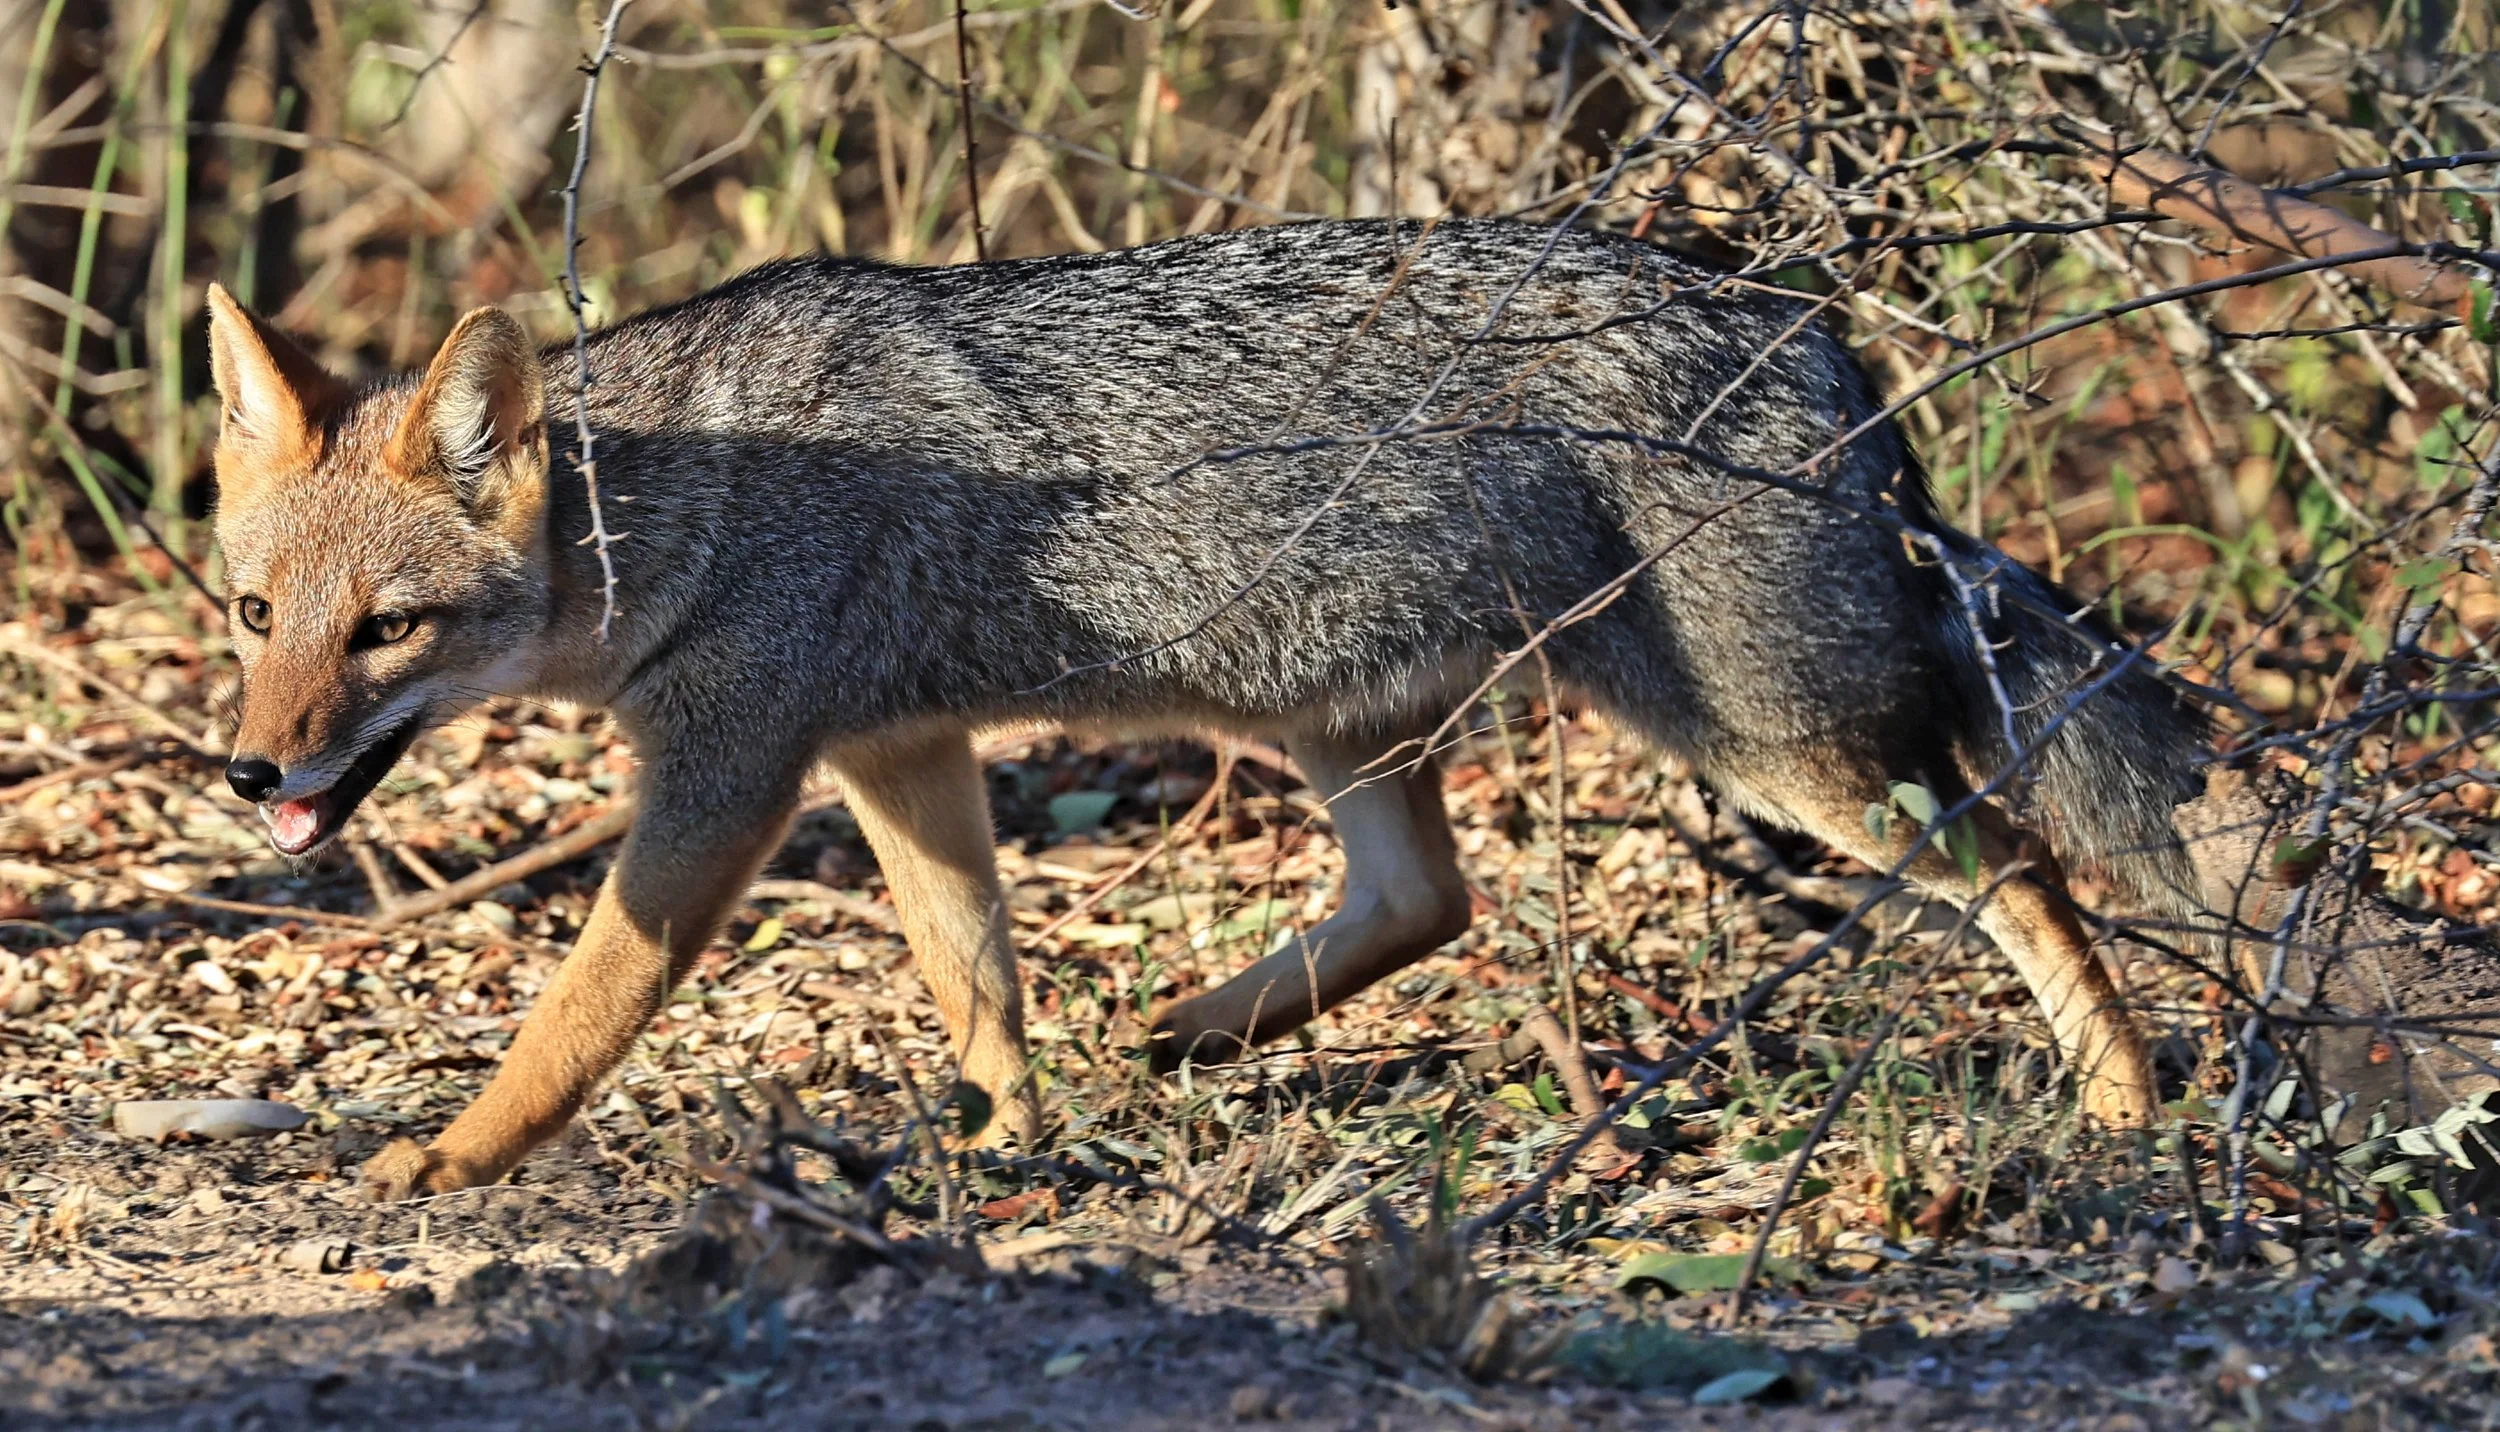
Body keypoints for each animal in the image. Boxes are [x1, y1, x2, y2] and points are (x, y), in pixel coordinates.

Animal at [201, 218, 2206, 1200]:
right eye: (256, 616)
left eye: (388, 631)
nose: (247, 768)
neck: (698, 500)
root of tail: (1806, 328)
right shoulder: (896, 750)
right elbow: (974, 973)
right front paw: (1011, 1140)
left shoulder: (727, 784)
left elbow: (578, 1009)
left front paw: (455, 1154)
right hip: (1343, 722)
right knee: (1428, 897)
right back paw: (1187, 1030)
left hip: (1774, 757)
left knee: (2024, 866)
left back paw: (2123, 1106)